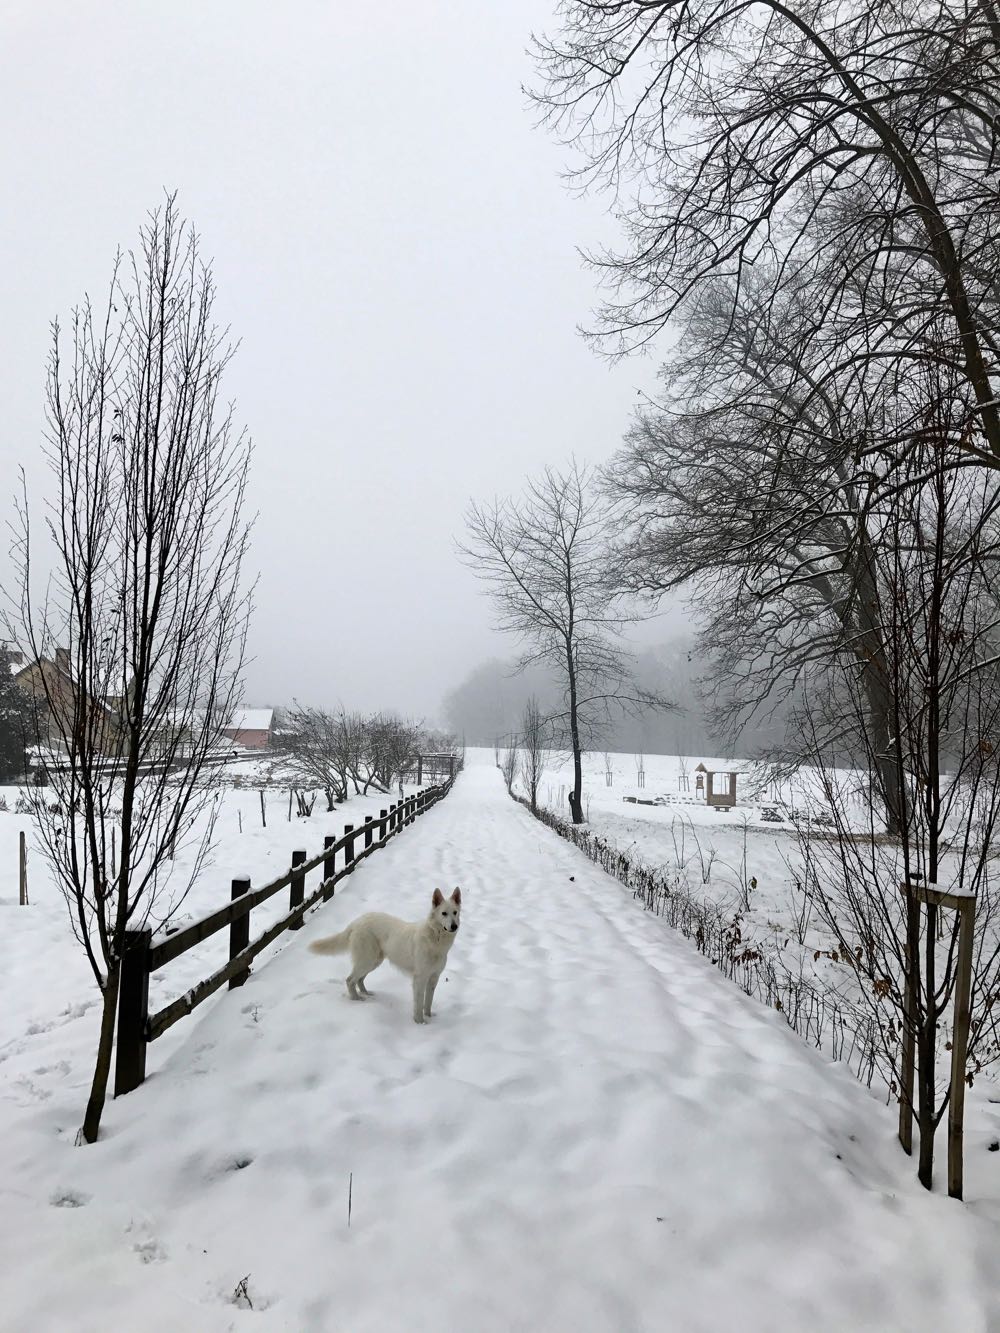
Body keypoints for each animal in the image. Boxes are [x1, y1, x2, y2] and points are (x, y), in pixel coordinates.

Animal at [309, 890, 461, 1023]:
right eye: (444, 913)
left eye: (455, 912)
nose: (454, 926)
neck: (435, 937)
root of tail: (357, 921)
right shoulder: (420, 979)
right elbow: (418, 1004)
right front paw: (420, 1023)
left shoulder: (434, 978)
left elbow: (428, 1002)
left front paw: (429, 1018)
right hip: (367, 960)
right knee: (350, 980)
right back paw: (356, 1000)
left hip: (373, 961)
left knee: (359, 979)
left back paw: (366, 994)